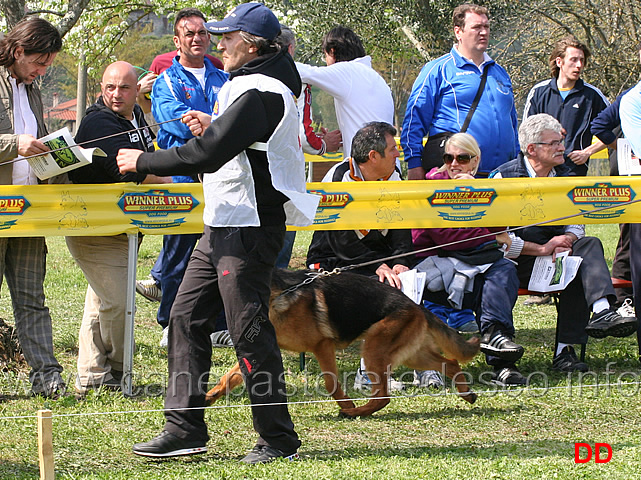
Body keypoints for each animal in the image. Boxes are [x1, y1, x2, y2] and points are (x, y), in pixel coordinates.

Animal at [206, 268, 480, 418]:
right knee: (451, 363)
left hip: (373, 350)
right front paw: (209, 397)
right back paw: (467, 394)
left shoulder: (322, 346)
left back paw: (355, 412)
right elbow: (229, 377)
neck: (276, 296)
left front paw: (346, 403)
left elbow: (331, 383)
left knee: (383, 397)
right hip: (411, 355)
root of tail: (416, 306)